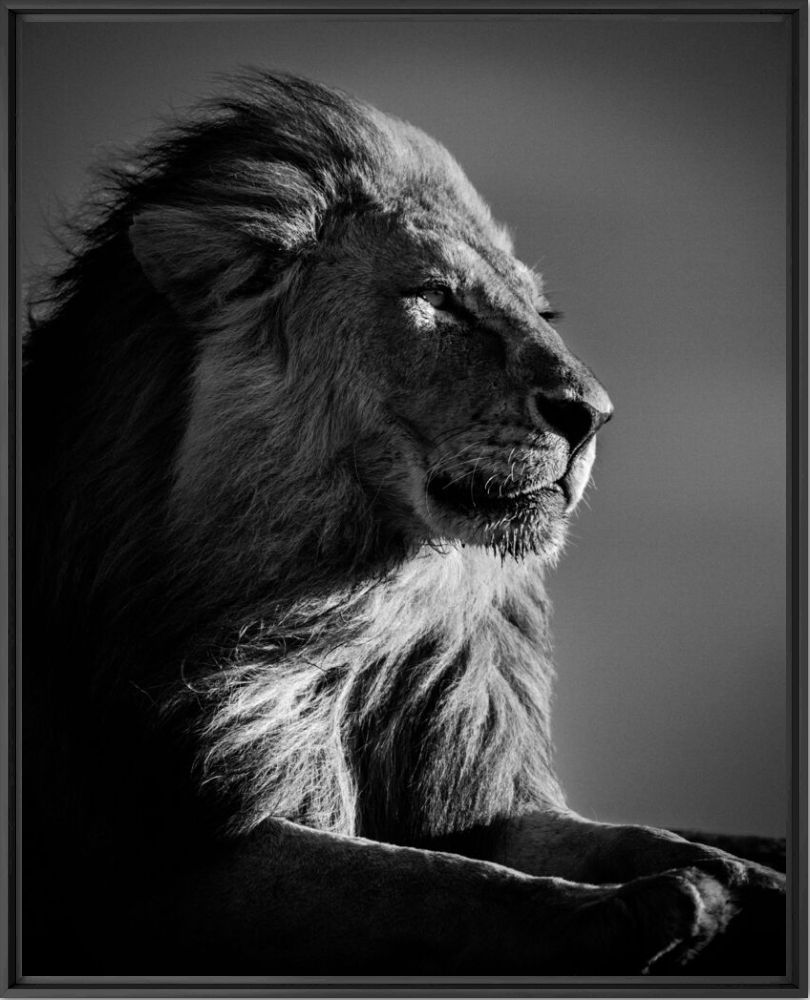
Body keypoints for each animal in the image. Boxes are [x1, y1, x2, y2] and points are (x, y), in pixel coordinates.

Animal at [23, 70, 785, 975]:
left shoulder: (462, 782)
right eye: (438, 299)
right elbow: (432, 884)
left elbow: (624, 837)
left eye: (541, 313)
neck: (361, 613)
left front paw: (742, 880)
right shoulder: (159, 848)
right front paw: (649, 908)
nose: (592, 415)